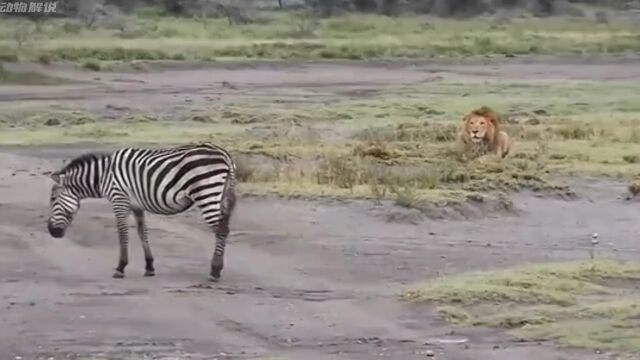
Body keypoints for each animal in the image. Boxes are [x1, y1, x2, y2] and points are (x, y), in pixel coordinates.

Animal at [47, 143, 238, 282]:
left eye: (53, 199)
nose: (51, 231)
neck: (103, 177)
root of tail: (225, 155)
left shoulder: (119, 199)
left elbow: (123, 233)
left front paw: (120, 267)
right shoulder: (136, 205)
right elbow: (142, 233)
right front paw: (149, 267)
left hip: (206, 192)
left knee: (221, 230)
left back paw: (215, 271)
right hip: (220, 195)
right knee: (224, 228)